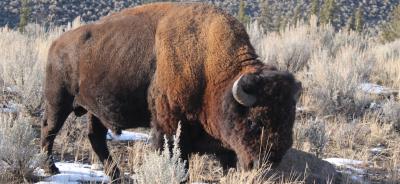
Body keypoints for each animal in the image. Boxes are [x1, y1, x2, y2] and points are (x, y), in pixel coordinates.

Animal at [41, 2, 300, 181]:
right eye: (254, 122)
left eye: (289, 121)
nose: (265, 164)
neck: (211, 68)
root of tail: (55, 45)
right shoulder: (168, 127)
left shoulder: (223, 146)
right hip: (59, 101)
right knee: (49, 130)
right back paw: (51, 168)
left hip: (96, 110)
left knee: (95, 137)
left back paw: (117, 176)